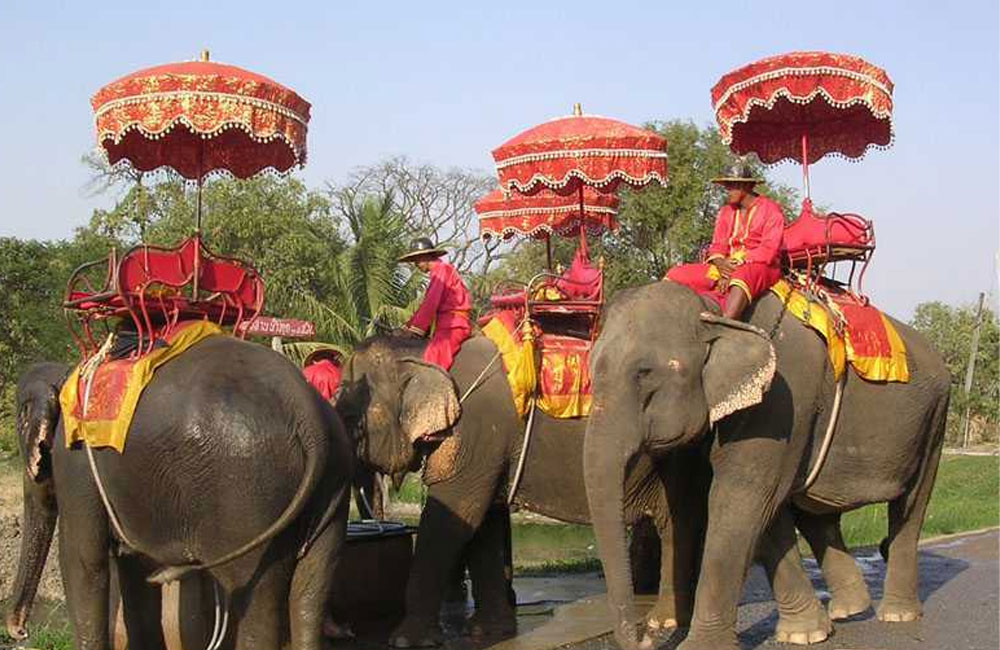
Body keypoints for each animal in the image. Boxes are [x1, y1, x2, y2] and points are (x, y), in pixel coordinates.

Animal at [6, 335, 354, 650]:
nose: (19, 631)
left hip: (249, 493)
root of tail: (309, 416)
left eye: (24, 430)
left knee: (256, 598)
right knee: (310, 590)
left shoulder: (75, 462)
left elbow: (82, 559)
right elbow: (135, 569)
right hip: (332, 489)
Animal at [336, 333, 713, 648]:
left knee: (677, 521)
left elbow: (455, 516)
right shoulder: (487, 449)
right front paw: (488, 632)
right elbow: (483, 521)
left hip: (682, 452)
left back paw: (666, 620)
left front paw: (406, 641)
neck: (424, 349)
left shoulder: (474, 432)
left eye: (352, 418)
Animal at [583, 281, 951, 650]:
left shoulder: (781, 400)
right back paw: (849, 609)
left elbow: (742, 499)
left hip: (934, 419)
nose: (645, 638)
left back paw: (897, 614)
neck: (714, 312)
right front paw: (804, 634)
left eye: (644, 373)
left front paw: (702, 646)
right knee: (814, 510)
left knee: (911, 505)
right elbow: (755, 509)